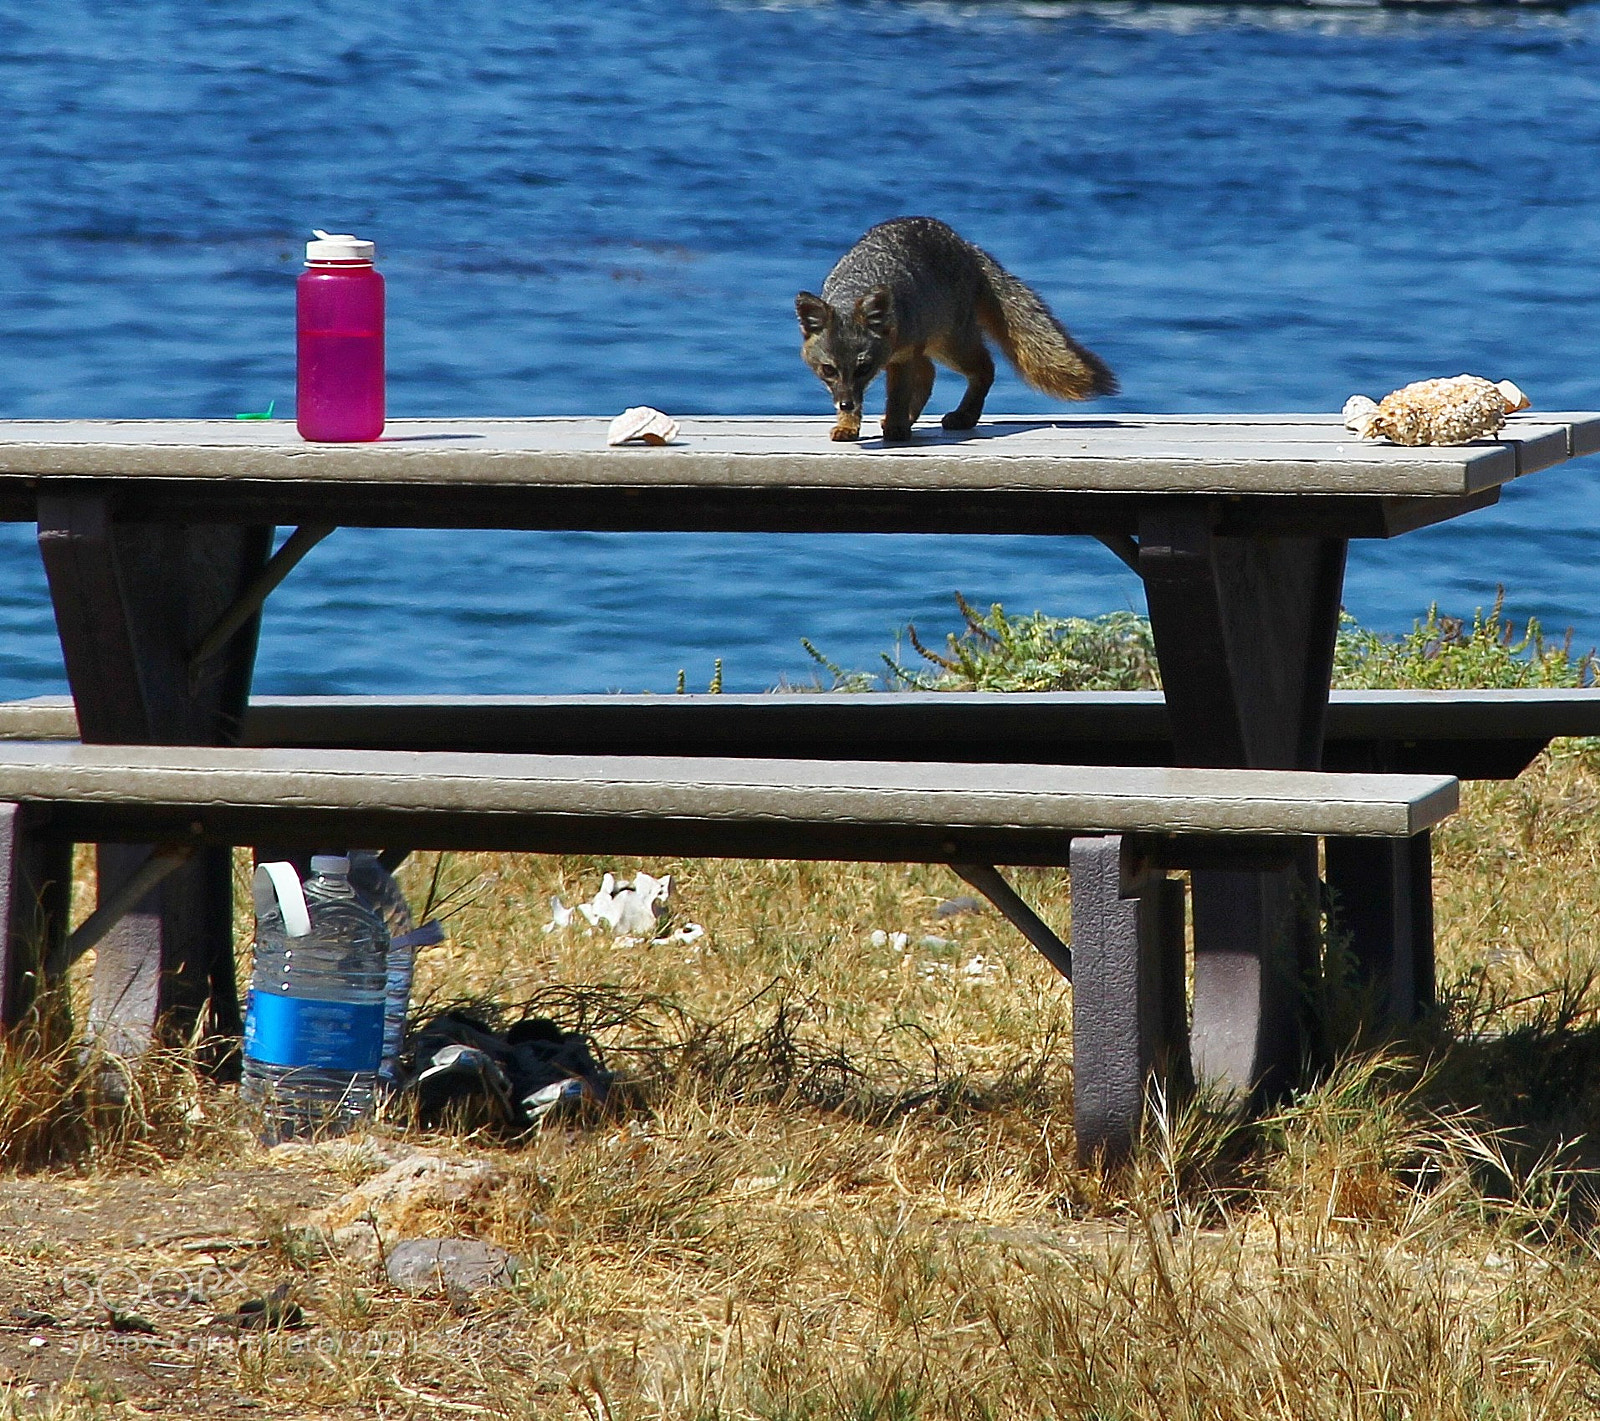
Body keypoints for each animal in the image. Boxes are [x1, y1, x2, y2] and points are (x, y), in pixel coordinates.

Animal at [795, 216, 1117, 442]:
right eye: (828, 370)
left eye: (863, 368)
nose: (846, 405)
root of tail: (965, 244)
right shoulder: (888, 363)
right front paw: (848, 425)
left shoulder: (900, 359)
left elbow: (897, 396)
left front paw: (897, 425)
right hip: (932, 346)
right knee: (929, 374)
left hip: (950, 346)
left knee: (984, 368)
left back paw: (963, 415)